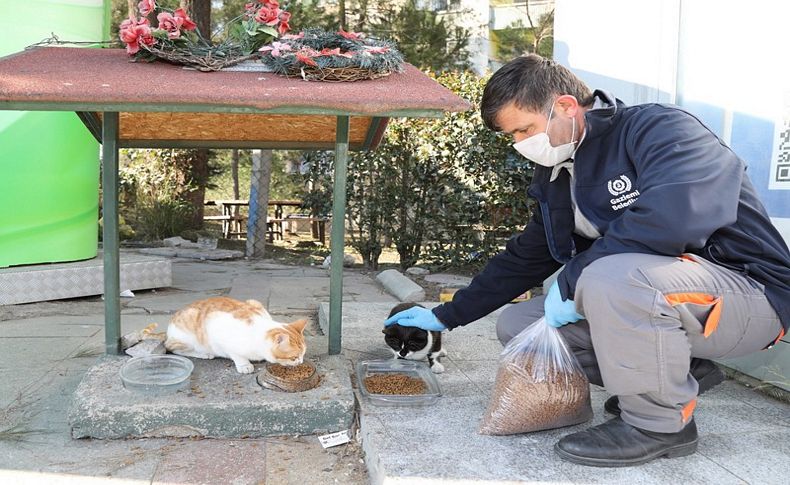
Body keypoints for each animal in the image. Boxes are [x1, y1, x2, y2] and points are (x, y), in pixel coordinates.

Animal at [164, 296, 306, 372]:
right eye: (294, 357)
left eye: (303, 354)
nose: (301, 362)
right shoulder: (215, 329)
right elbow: (235, 354)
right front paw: (244, 365)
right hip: (186, 336)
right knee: (173, 349)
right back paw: (204, 354)